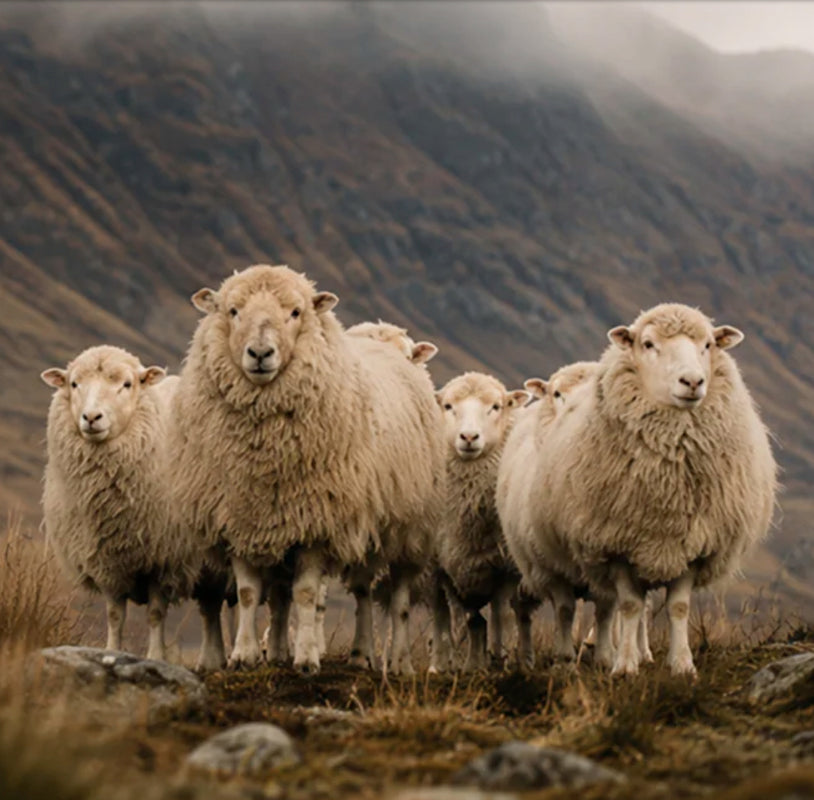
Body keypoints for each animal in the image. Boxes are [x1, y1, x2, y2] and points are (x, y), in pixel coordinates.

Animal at [41, 345, 198, 661]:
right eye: (74, 384)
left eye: (127, 384)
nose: (91, 417)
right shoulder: (106, 563)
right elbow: (114, 616)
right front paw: (111, 651)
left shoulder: (162, 559)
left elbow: (155, 614)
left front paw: (155, 657)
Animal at [168, 264, 445, 674]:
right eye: (233, 311)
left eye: (296, 312)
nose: (260, 353)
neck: (263, 452)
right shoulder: (238, 517)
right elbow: (249, 593)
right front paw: (245, 655)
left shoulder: (317, 520)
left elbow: (307, 592)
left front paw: (306, 659)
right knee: (361, 592)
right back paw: (357, 653)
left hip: (410, 528)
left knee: (399, 600)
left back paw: (397, 662)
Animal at [432, 372, 534, 671]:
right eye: (448, 406)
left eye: (496, 407)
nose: (468, 437)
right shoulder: (439, 565)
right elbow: (453, 618)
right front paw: (447, 665)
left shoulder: (507, 567)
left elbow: (504, 616)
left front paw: (502, 660)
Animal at [522, 303, 777, 676]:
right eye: (648, 344)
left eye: (708, 345)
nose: (693, 381)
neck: (669, 484)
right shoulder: (617, 545)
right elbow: (628, 606)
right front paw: (625, 665)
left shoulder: (692, 546)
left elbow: (678, 608)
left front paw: (682, 665)